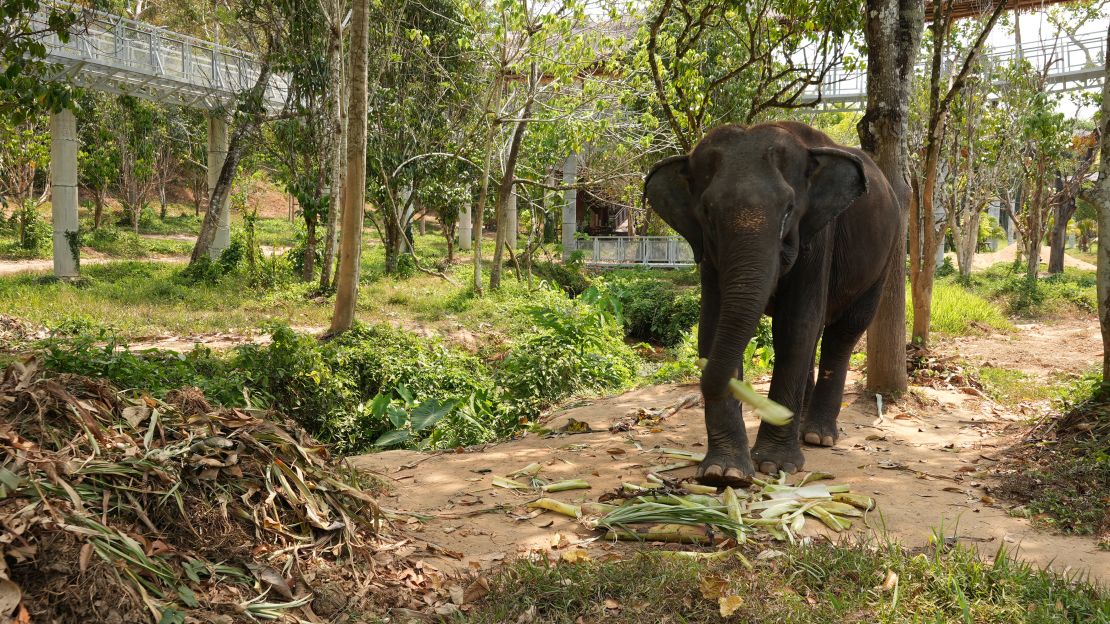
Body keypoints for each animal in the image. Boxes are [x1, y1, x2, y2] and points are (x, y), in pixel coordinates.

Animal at [648, 118, 896, 484]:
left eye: (789, 209)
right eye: (707, 211)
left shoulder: (818, 235)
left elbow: (795, 325)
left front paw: (775, 465)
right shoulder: (708, 253)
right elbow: (712, 325)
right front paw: (725, 473)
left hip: (887, 253)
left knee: (844, 331)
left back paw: (817, 436)